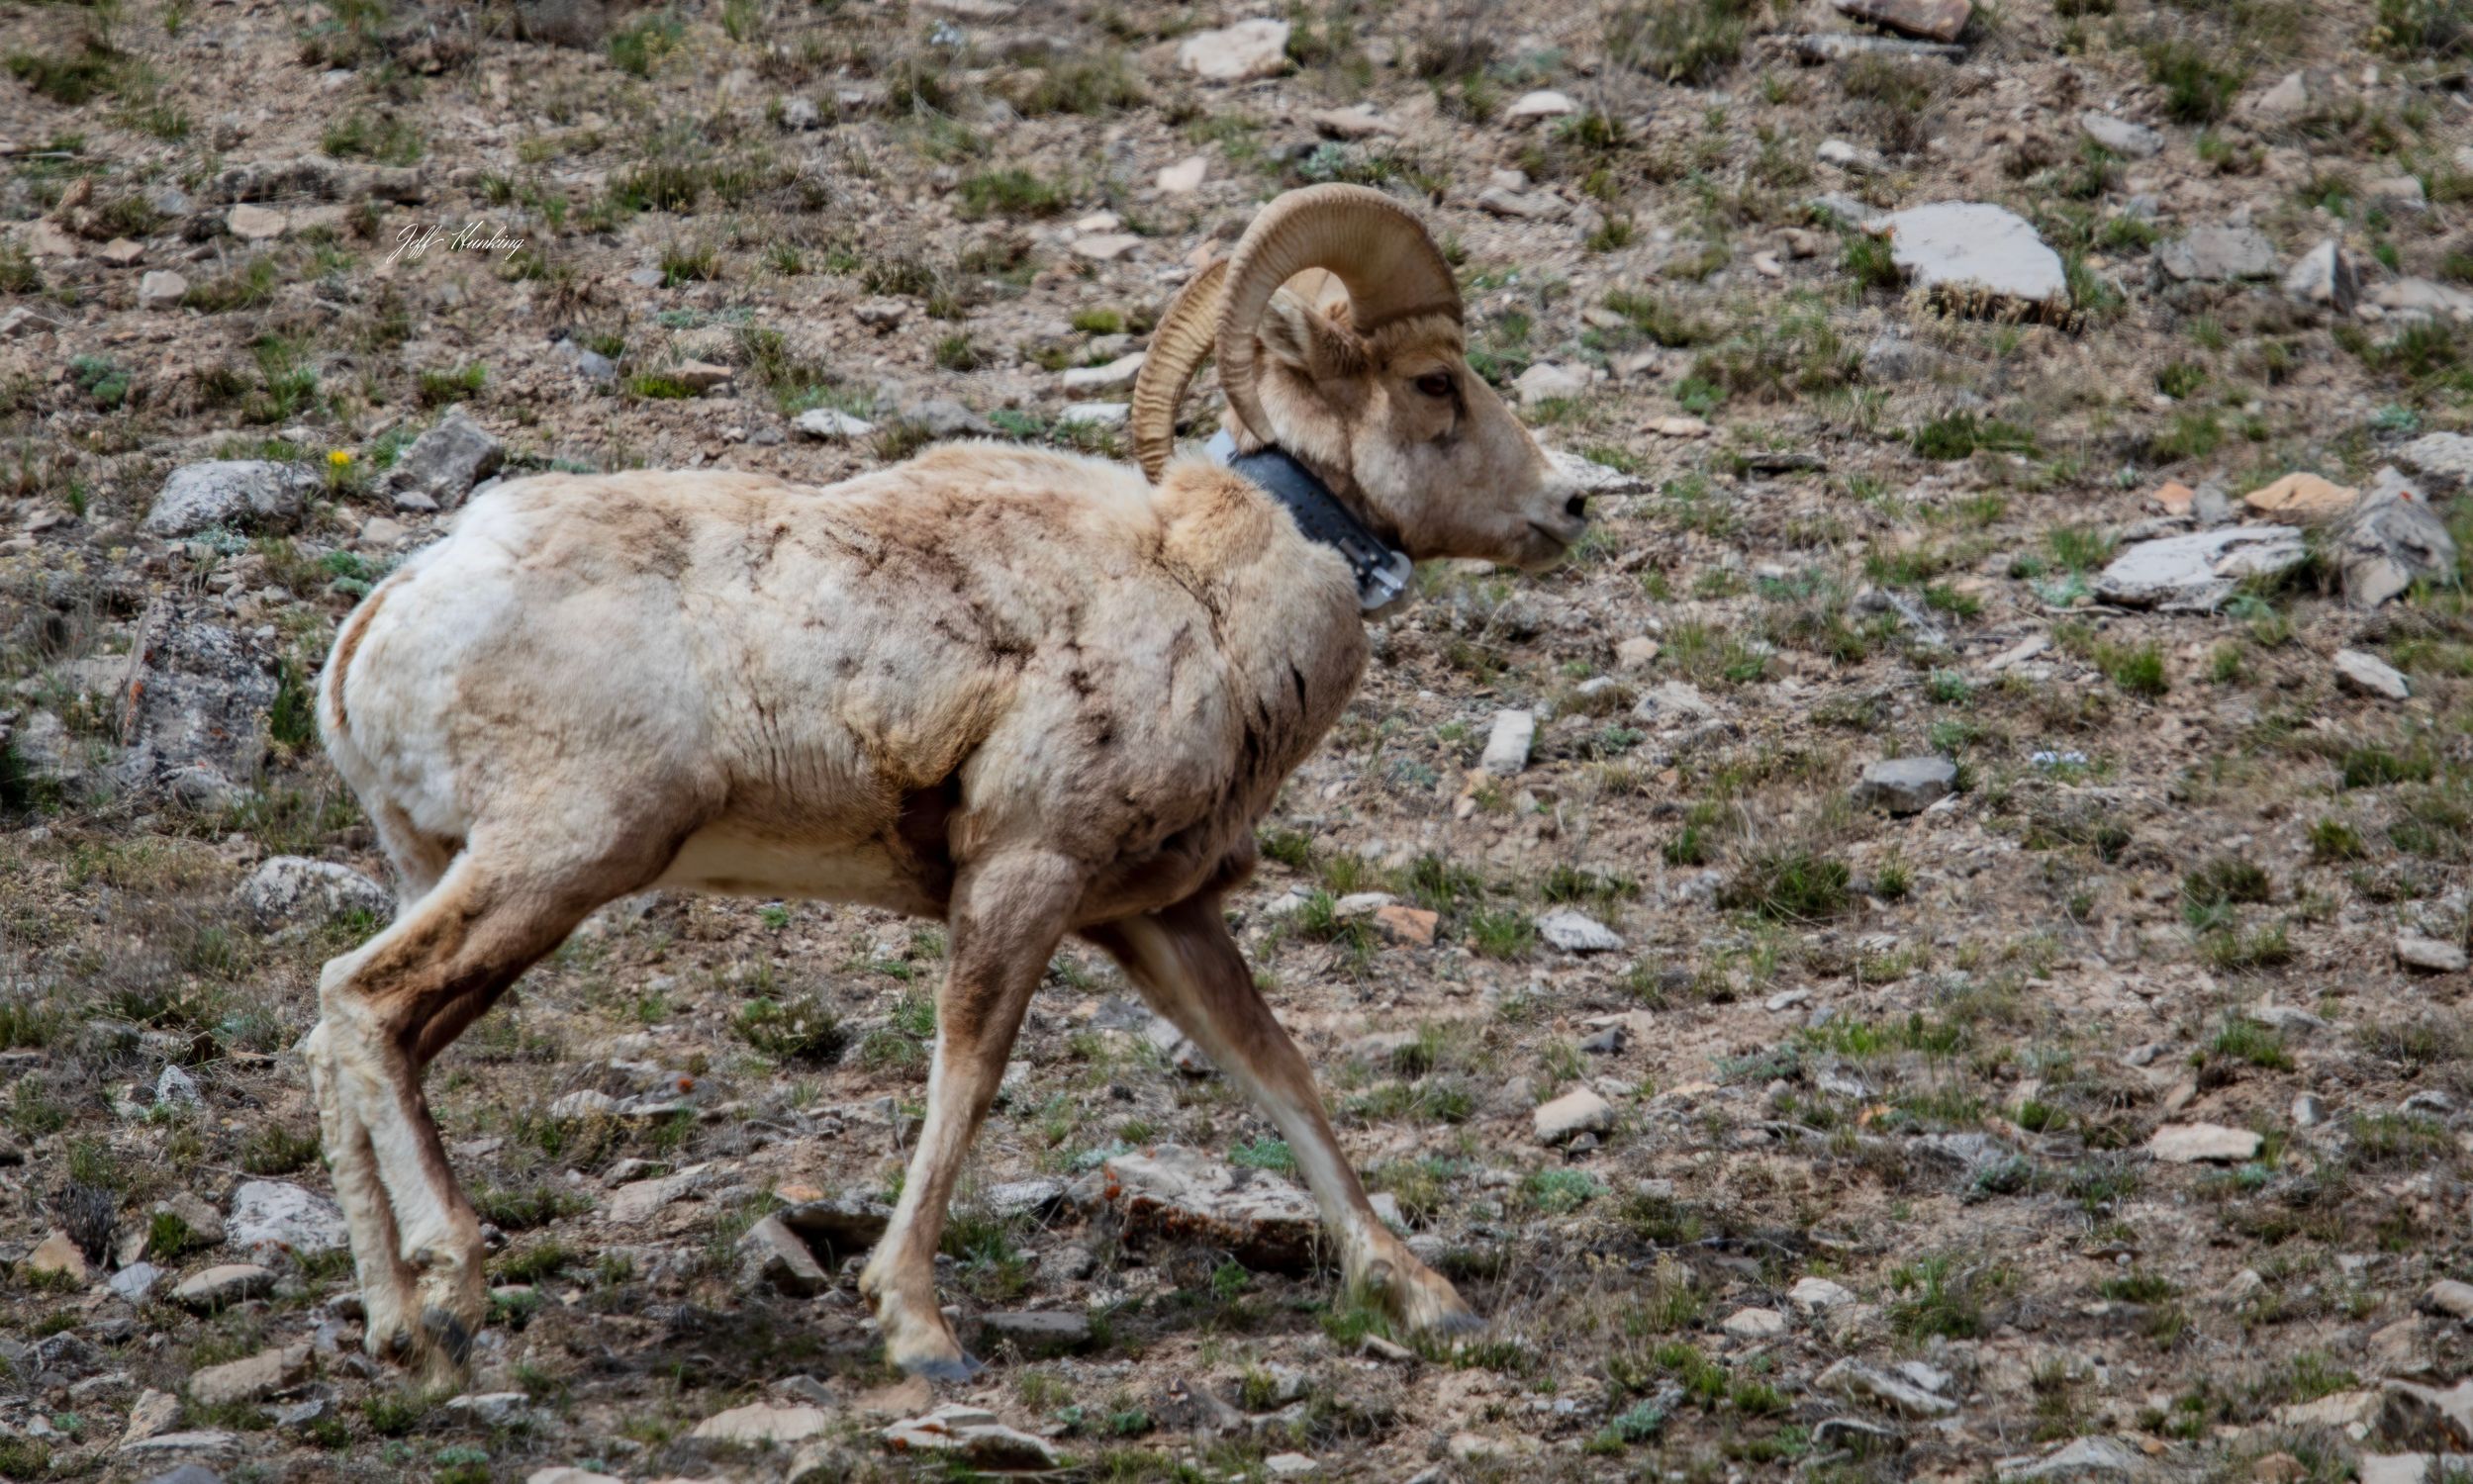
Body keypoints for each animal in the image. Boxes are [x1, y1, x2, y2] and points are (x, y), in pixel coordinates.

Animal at [302, 183, 1588, 1383]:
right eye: (1434, 382)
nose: (1570, 502)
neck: (1207, 593)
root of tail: (387, 619)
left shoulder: (1160, 916)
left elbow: (1281, 1076)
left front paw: (1427, 1299)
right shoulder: (1025, 873)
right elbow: (968, 1074)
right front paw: (919, 1332)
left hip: (475, 883)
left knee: (360, 1042)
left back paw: (402, 1332)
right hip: (554, 861)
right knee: (360, 1003)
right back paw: (453, 1290)